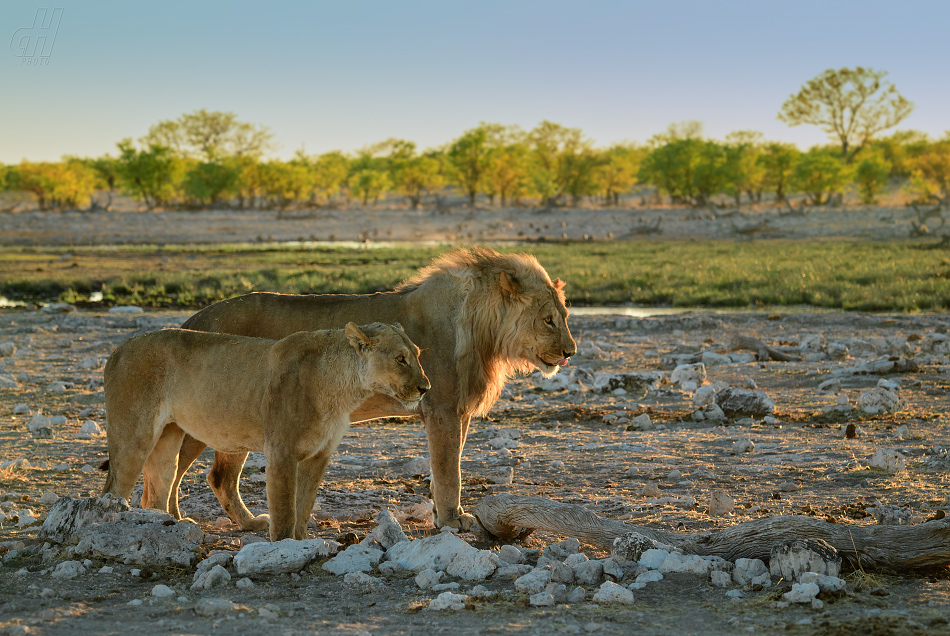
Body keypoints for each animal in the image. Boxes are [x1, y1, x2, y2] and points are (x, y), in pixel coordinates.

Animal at [102, 322, 430, 540]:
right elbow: (285, 509)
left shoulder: (320, 455)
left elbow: (303, 506)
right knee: (114, 490)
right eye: (400, 359)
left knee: (160, 489)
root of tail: (118, 349)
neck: (342, 388)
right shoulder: (282, 451)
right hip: (134, 436)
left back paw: (168, 527)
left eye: (417, 355)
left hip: (170, 437)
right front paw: (285, 547)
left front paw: (301, 542)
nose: (425, 387)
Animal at [161, 246, 576, 528]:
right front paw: (451, 520)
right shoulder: (441, 409)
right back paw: (171, 521)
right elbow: (448, 470)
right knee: (176, 468)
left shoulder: (459, 412)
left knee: (219, 477)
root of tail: (192, 319)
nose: (571, 352)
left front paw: (447, 513)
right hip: (202, 419)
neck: (481, 330)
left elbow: (451, 463)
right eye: (548, 320)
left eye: (565, 315)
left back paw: (248, 524)